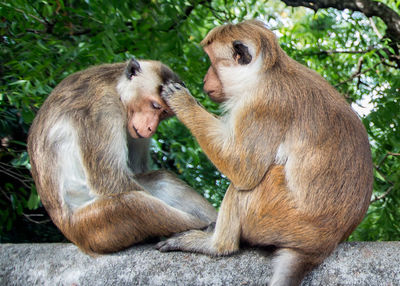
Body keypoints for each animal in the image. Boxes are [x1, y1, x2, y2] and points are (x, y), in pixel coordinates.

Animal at [26, 58, 217, 255]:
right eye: (155, 106)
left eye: (164, 112)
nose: (151, 128)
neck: (116, 88)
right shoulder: (102, 109)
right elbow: (109, 180)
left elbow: (136, 171)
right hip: (91, 229)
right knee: (135, 203)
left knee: (161, 179)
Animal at [155, 20, 374, 286]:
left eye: (212, 62)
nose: (206, 79)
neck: (266, 73)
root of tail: (322, 245)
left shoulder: (261, 106)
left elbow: (243, 170)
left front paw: (182, 101)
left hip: (273, 214)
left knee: (252, 182)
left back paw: (216, 245)